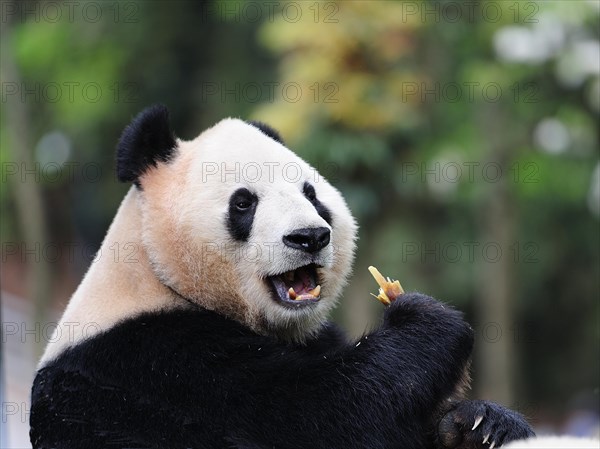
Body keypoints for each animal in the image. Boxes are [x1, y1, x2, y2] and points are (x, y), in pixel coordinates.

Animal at [30, 106, 532, 448]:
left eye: (311, 194)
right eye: (243, 202)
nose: (310, 236)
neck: (159, 275)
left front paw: (477, 425)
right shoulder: (159, 362)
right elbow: (324, 414)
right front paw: (426, 320)